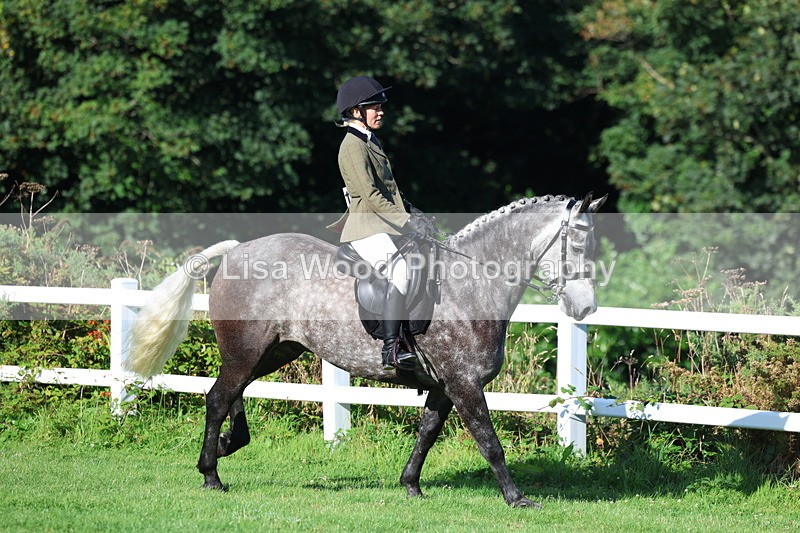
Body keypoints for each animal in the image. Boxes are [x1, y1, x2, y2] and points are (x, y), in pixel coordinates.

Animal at [127, 193, 607, 508]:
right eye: (579, 246)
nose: (585, 308)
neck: (471, 285)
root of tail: (238, 250)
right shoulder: (464, 383)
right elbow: (490, 443)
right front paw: (517, 498)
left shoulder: (443, 384)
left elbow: (427, 433)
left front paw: (411, 485)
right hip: (247, 351)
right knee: (218, 398)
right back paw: (212, 474)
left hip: (271, 352)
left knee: (232, 395)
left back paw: (228, 444)